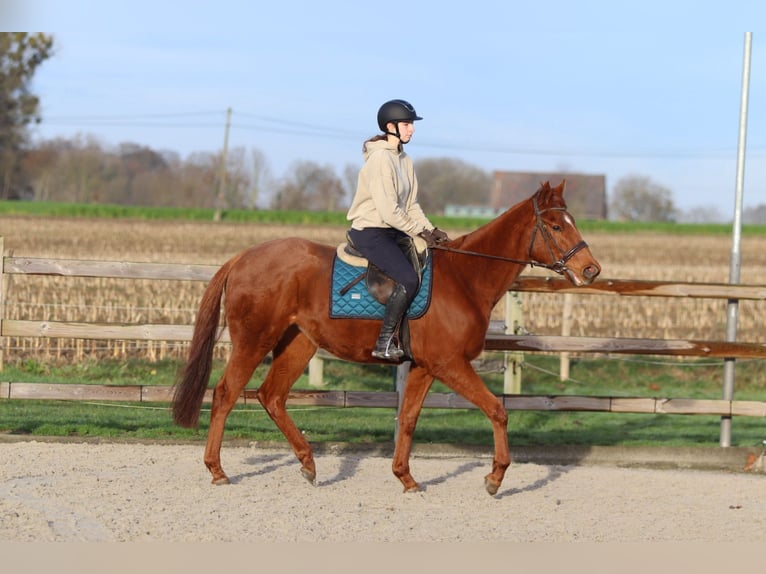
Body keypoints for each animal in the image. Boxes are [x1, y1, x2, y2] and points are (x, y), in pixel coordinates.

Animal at [172, 179, 601, 495]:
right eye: (557, 226)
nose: (591, 269)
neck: (464, 279)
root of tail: (243, 257)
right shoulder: (450, 363)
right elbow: (497, 409)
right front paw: (495, 477)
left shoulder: (427, 366)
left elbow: (408, 418)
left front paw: (406, 478)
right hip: (254, 340)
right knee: (226, 393)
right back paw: (217, 470)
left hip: (300, 343)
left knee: (271, 396)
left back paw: (308, 464)